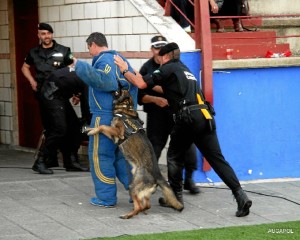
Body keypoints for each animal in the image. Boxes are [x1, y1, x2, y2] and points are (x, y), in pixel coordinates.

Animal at [85, 89, 183, 218]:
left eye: (117, 92)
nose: (114, 87)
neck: (126, 108)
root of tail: (157, 175)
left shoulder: (117, 133)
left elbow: (101, 126)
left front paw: (92, 131)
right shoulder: (113, 134)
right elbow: (101, 126)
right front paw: (89, 129)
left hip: (133, 187)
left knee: (139, 206)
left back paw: (128, 215)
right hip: (141, 189)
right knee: (146, 205)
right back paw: (139, 211)